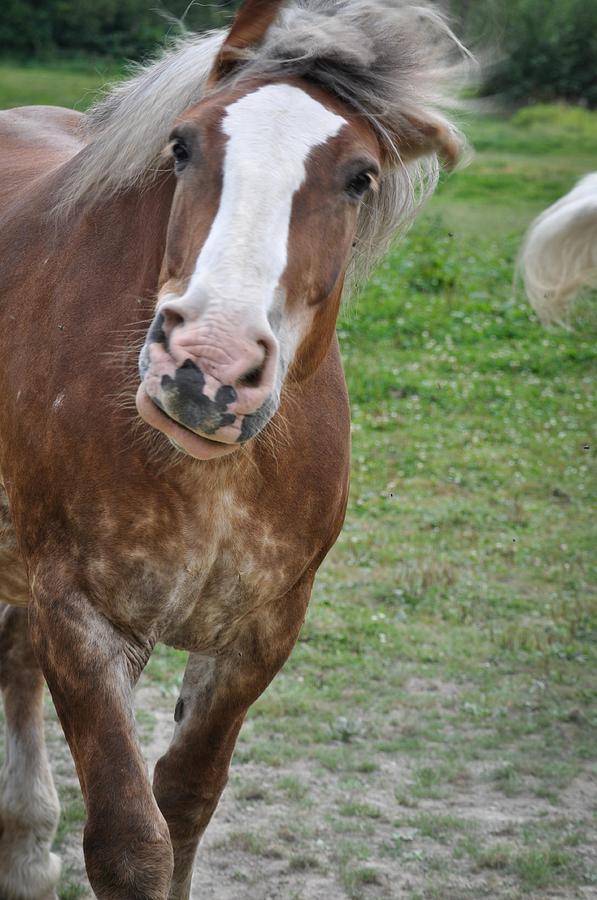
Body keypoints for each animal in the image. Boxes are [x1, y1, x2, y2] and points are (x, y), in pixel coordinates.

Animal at [0, 3, 466, 896]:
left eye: (359, 177)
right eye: (182, 145)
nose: (206, 369)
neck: (213, 475)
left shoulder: (262, 630)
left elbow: (184, 805)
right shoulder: (80, 616)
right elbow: (130, 840)